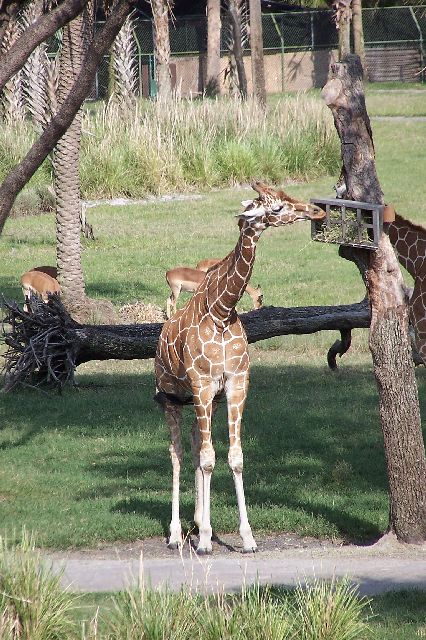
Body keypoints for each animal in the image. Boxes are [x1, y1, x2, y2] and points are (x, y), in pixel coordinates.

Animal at [155, 181, 324, 556]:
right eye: (275, 208)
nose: (317, 211)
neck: (221, 311)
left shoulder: (233, 384)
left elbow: (232, 457)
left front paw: (245, 538)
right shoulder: (202, 383)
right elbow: (208, 459)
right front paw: (205, 542)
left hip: (207, 401)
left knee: (194, 444)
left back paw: (199, 522)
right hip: (171, 397)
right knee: (176, 452)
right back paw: (176, 534)